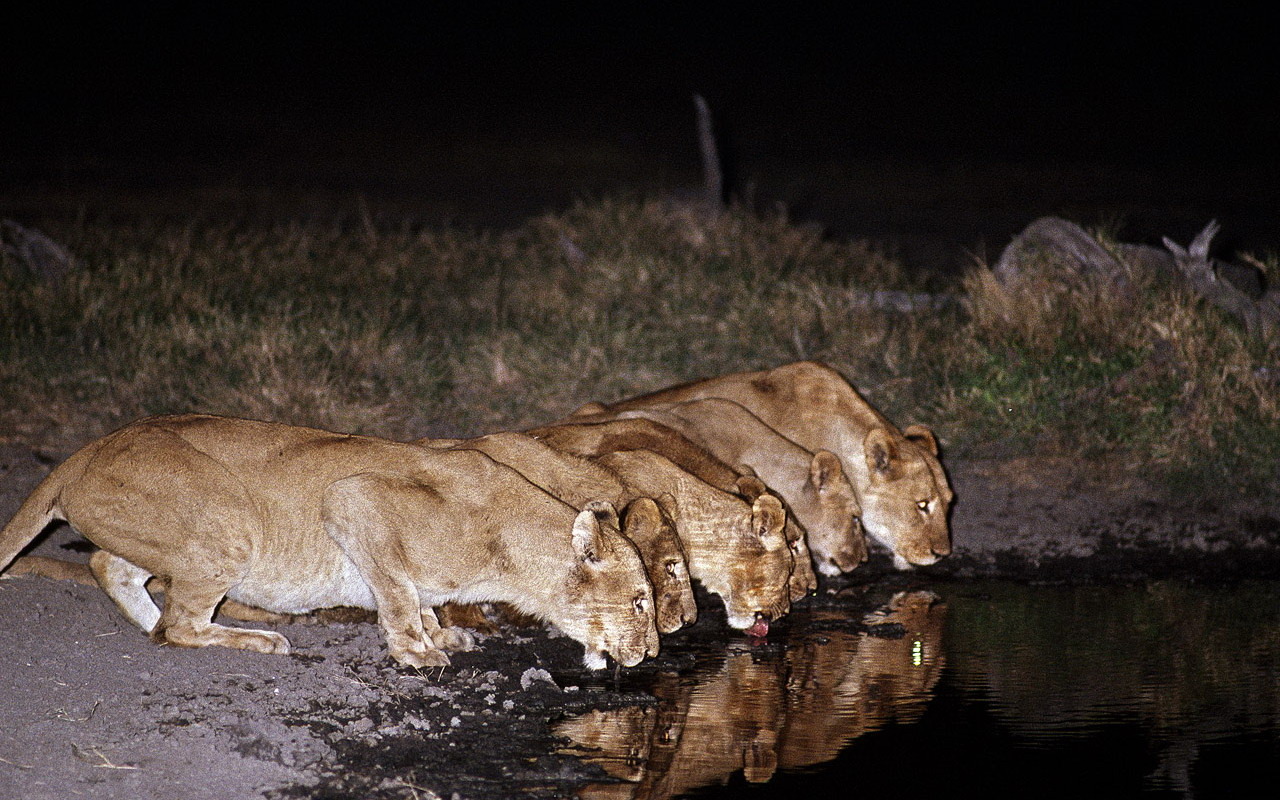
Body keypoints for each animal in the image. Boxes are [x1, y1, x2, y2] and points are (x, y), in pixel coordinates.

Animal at [0, 412, 660, 665]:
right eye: (640, 602)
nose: (653, 654)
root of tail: (87, 451)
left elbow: (419, 596)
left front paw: (442, 632)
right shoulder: (353, 500)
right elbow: (397, 593)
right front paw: (417, 650)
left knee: (110, 568)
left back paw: (145, 619)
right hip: (229, 520)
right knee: (179, 626)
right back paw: (257, 639)